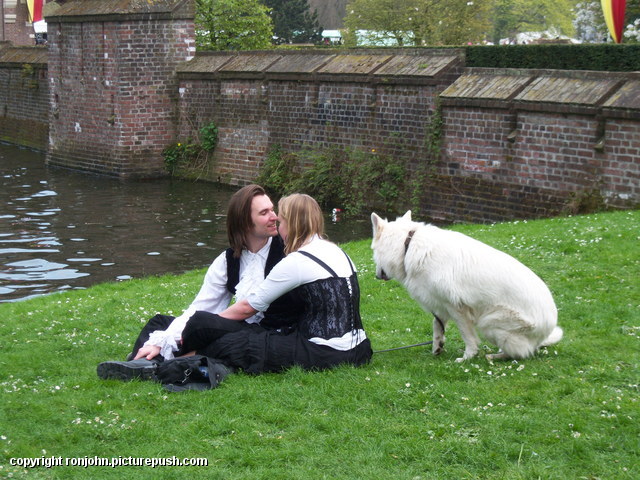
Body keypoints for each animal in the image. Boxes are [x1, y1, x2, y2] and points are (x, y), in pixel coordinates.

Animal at [370, 212, 560, 362]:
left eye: (373, 252)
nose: (376, 276)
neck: (407, 245)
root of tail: (547, 328)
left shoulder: (457, 308)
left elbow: (467, 336)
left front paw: (468, 356)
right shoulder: (439, 303)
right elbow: (437, 326)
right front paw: (437, 346)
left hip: (489, 322)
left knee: (521, 353)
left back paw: (494, 356)